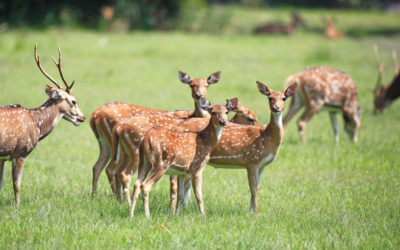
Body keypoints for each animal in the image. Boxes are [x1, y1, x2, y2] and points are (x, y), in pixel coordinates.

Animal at [0, 45, 84, 205]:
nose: (82, 117)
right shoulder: (21, 151)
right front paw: (17, 206)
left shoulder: (3, 157)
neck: (36, 125)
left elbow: (1, 184)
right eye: (73, 101)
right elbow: (16, 184)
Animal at [90, 71, 222, 197]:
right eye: (191, 85)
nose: (199, 96)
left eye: (207, 85)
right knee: (116, 171)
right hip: (132, 151)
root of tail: (94, 115)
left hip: (106, 144)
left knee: (99, 167)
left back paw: (98, 196)